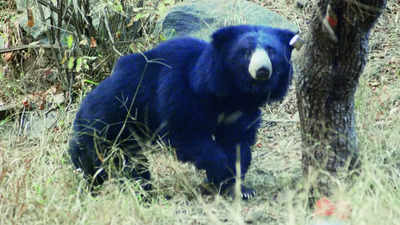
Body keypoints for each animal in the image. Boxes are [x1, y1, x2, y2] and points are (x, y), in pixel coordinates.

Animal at [69, 25, 296, 199]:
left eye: (271, 51)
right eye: (246, 52)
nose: (262, 70)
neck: (227, 92)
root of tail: (81, 109)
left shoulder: (240, 109)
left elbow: (237, 141)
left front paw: (240, 188)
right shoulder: (178, 90)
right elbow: (186, 134)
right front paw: (222, 172)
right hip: (105, 129)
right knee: (101, 162)